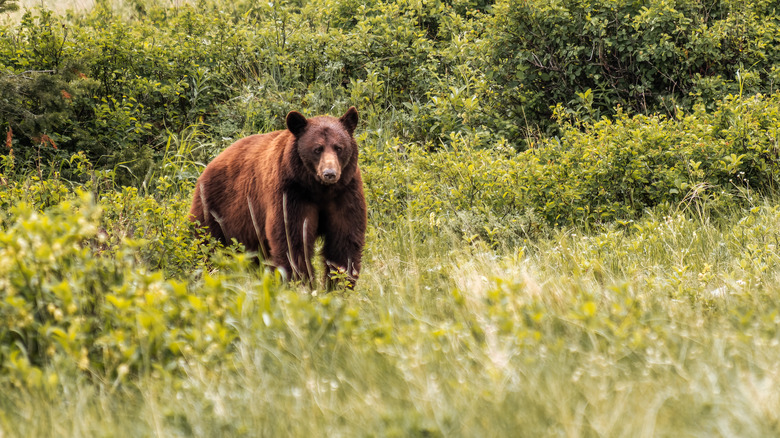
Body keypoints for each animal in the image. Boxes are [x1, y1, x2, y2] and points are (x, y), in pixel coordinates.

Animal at [192, 107, 368, 290]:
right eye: (317, 149)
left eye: (338, 147)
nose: (330, 173)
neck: (319, 189)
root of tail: (211, 164)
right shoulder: (290, 193)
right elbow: (292, 238)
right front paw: (301, 282)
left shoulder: (345, 192)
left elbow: (344, 238)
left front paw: (338, 285)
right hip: (215, 208)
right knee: (206, 244)